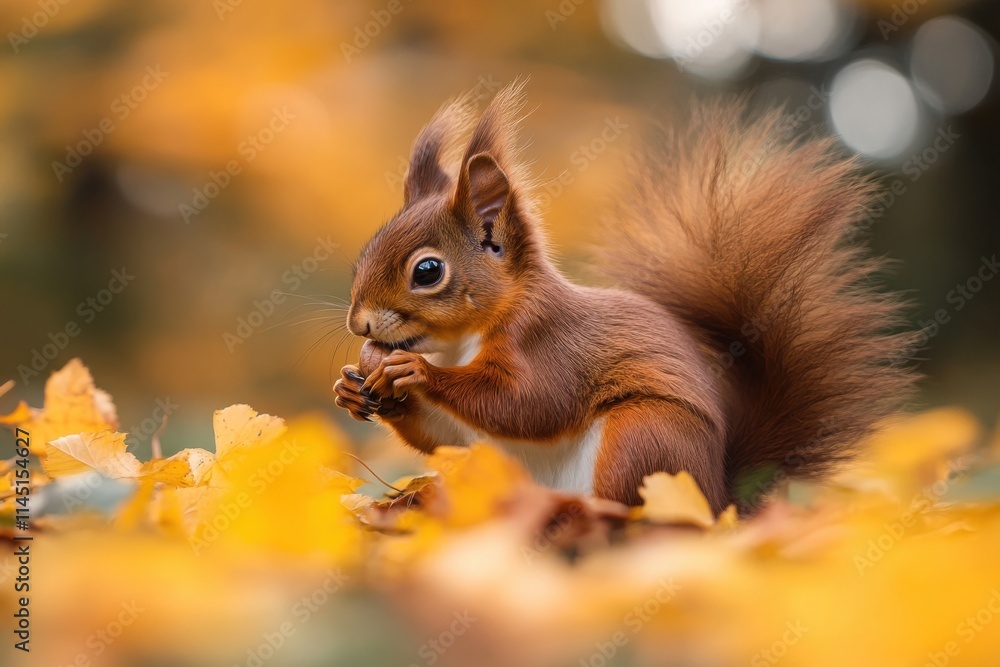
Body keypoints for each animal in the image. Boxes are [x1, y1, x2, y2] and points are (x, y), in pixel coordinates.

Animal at [333, 81, 916, 513]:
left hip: (645, 437)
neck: (462, 343)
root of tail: (718, 502)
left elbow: (529, 404)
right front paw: (353, 389)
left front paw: (416, 373)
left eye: (428, 271)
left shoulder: (552, 344)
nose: (359, 326)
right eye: (366, 251)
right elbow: (446, 435)